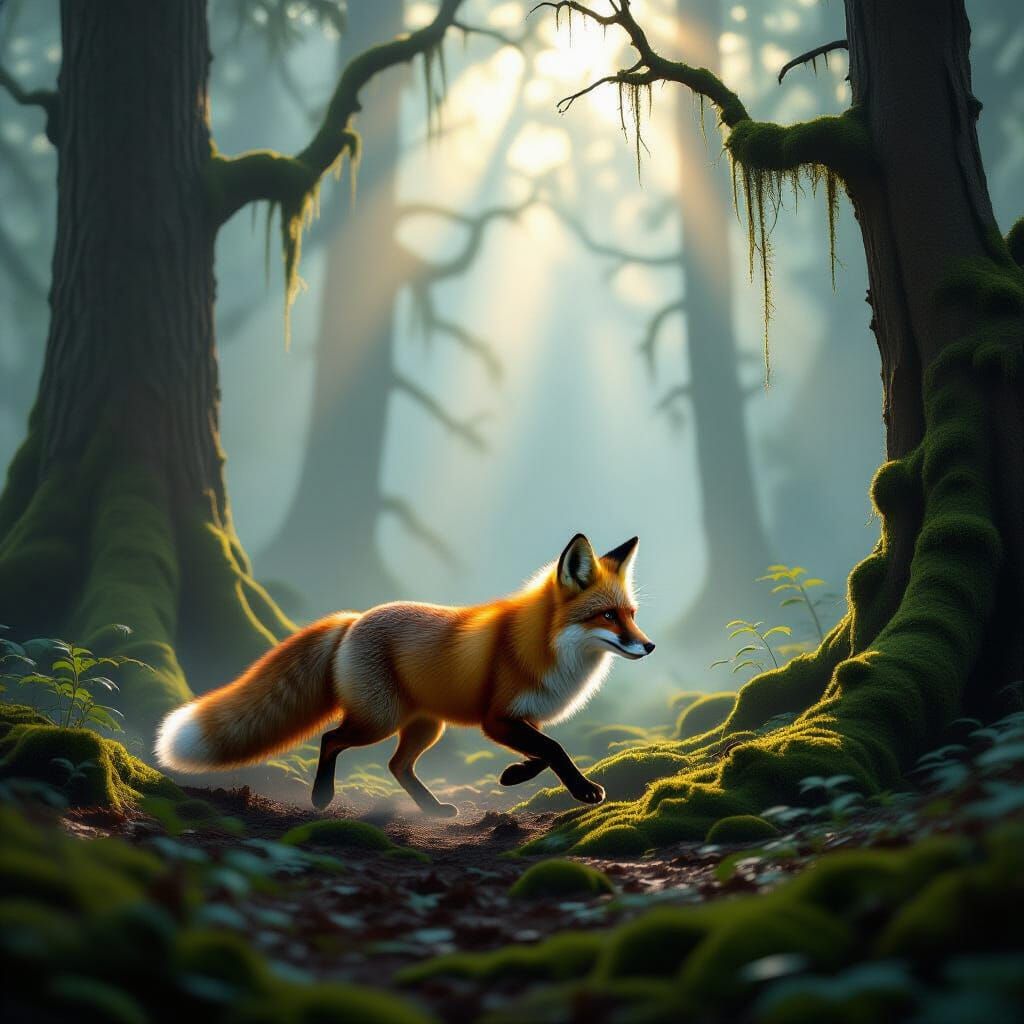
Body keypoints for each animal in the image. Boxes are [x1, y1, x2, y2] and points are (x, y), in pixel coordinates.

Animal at [155, 533, 654, 817]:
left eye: (631, 615)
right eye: (607, 616)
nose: (648, 646)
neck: (547, 647)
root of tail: (354, 619)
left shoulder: (516, 719)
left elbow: (542, 751)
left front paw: (513, 775)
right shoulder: (496, 719)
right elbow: (554, 748)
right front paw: (583, 790)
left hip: (425, 725)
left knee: (397, 765)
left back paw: (432, 809)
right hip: (380, 720)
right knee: (331, 739)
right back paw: (322, 797)